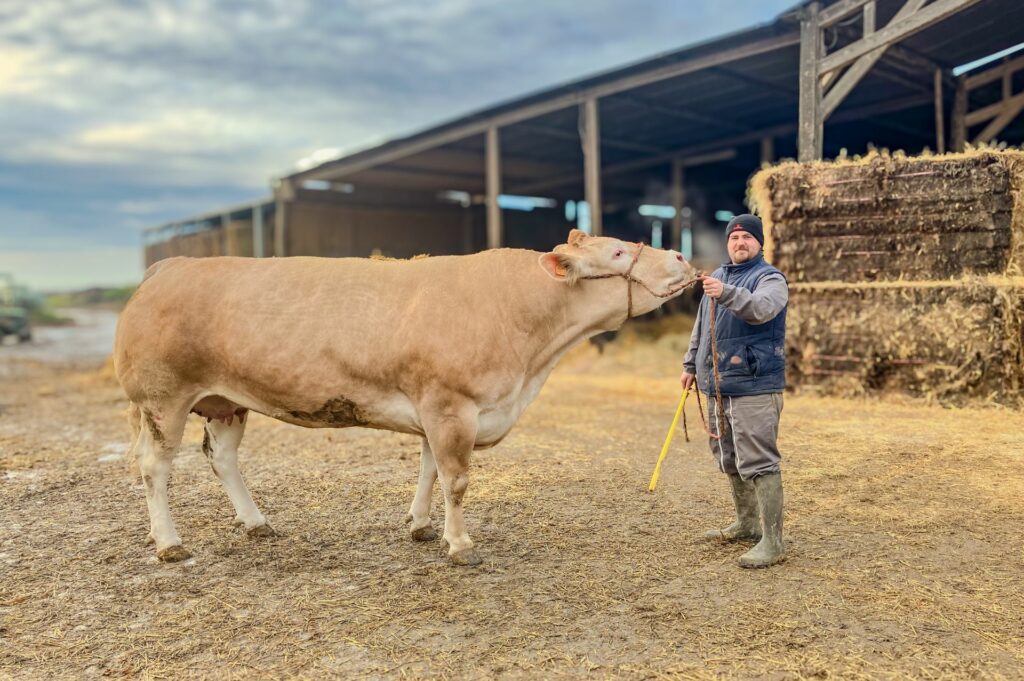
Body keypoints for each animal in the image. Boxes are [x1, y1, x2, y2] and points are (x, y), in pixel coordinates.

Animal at [116, 228, 700, 561]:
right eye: (619, 251)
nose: (681, 256)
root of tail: (169, 265)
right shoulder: (451, 404)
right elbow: (457, 480)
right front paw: (459, 546)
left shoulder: (433, 407)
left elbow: (429, 471)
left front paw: (420, 527)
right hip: (162, 398)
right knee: (154, 466)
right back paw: (169, 542)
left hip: (225, 400)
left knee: (222, 458)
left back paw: (256, 523)